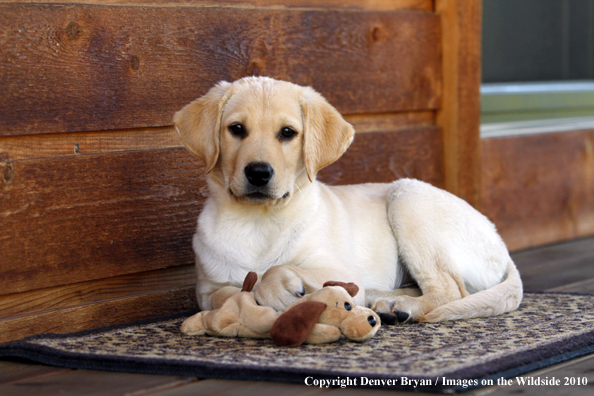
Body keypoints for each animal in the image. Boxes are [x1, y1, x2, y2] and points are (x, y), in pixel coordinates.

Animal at [173, 76, 520, 324]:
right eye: (236, 129)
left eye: (287, 133)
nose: (258, 173)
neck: (258, 221)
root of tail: (501, 244)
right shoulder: (206, 289)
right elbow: (226, 296)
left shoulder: (339, 269)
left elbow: (277, 268)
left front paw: (276, 289)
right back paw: (385, 301)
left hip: (406, 196)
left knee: (450, 288)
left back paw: (402, 305)